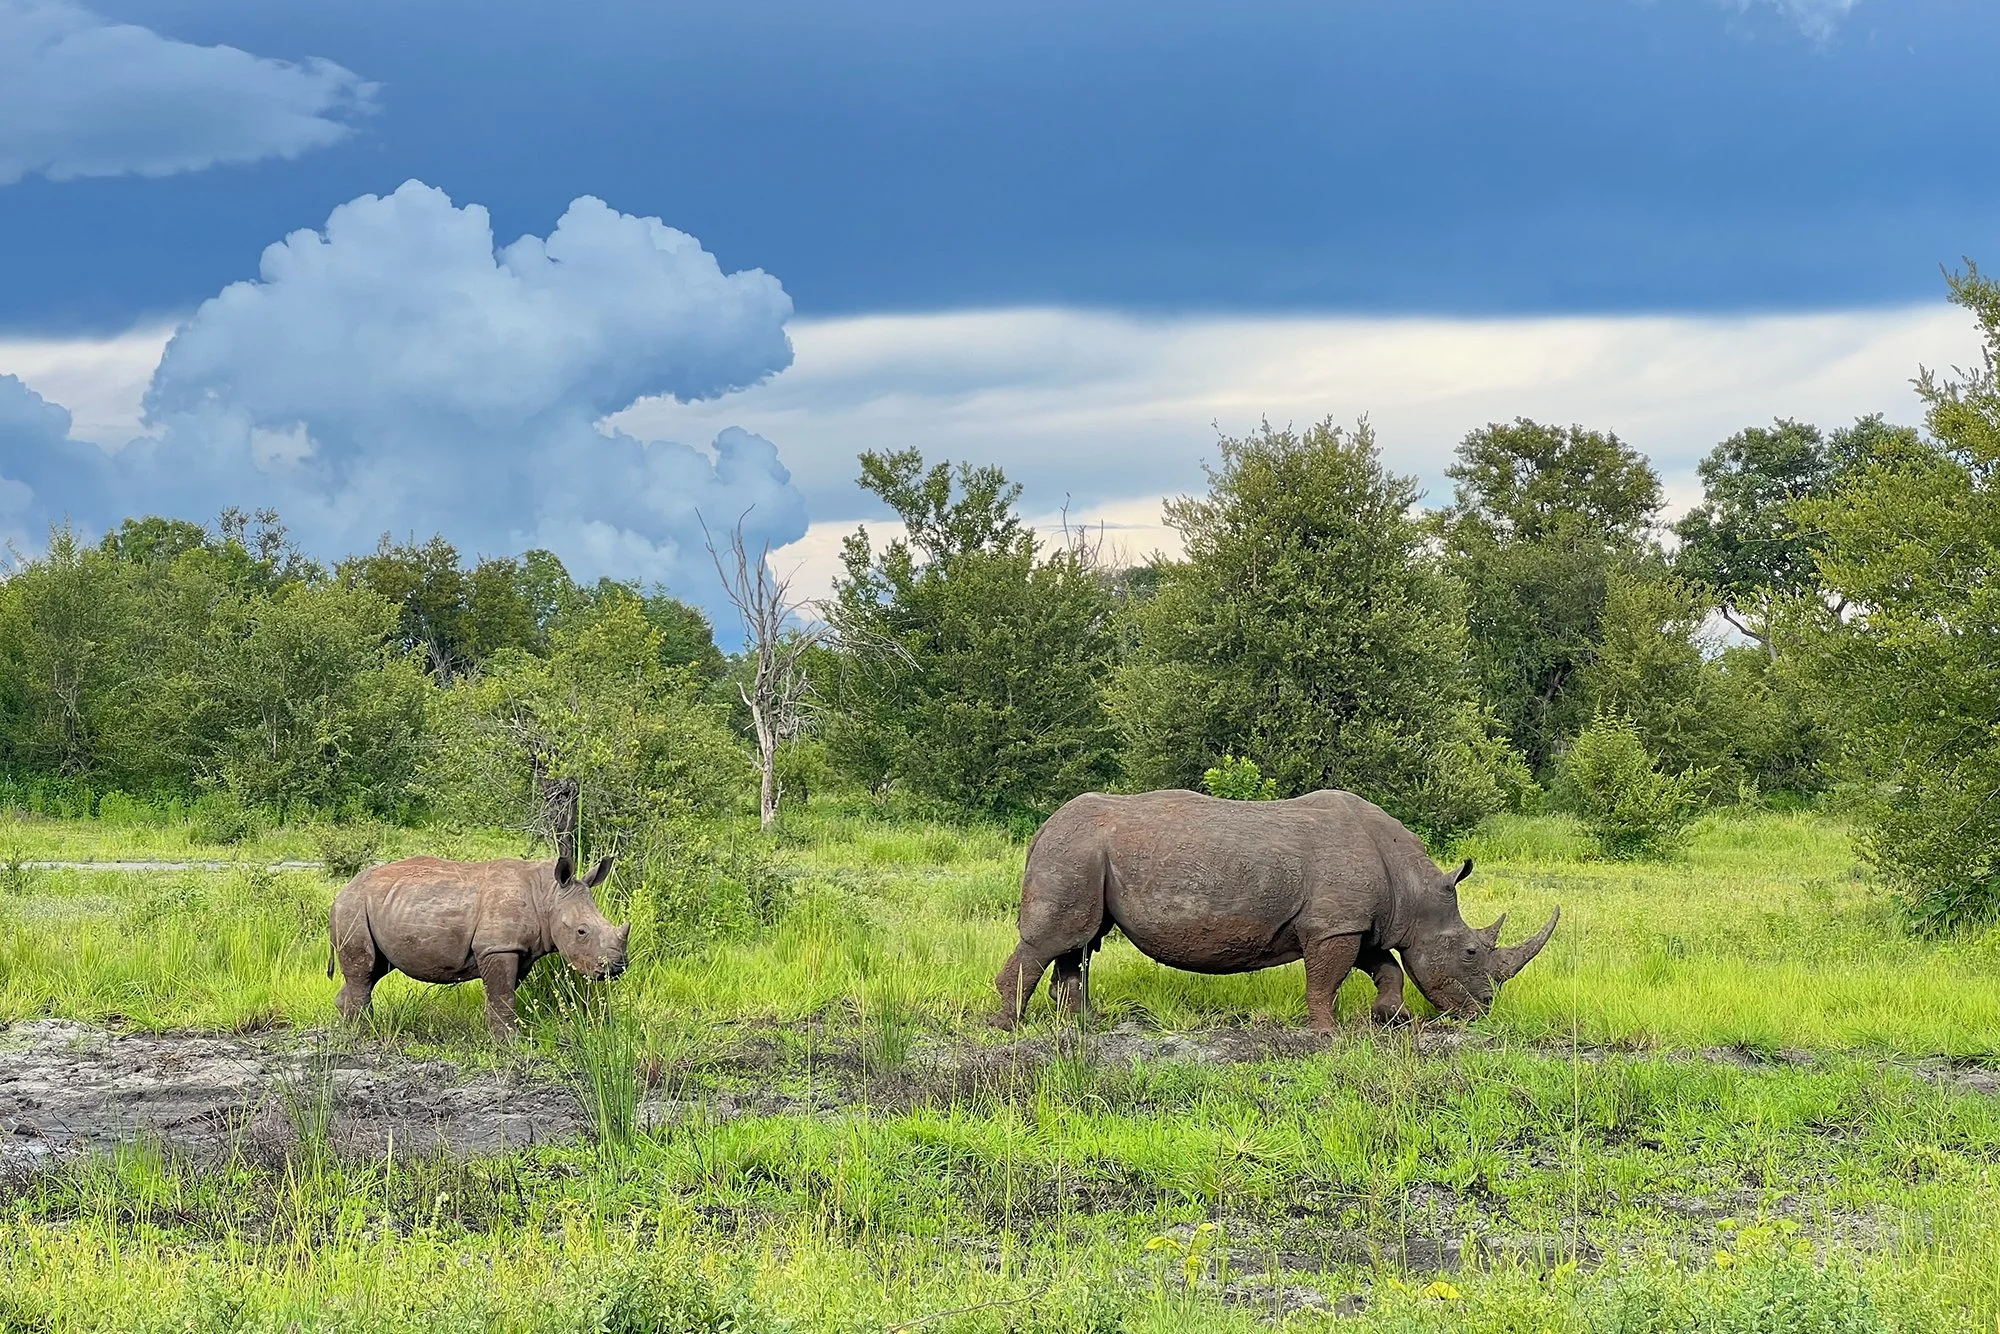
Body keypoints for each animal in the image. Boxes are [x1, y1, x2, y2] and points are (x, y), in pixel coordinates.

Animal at [328, 853, 629, 1039]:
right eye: (581, 931)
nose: (617, 967)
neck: (548, 896)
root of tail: (341, 892)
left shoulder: (520, 950)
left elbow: (502, 995)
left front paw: (500, 1036)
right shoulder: (498, 946)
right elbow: (503, 995)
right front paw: (510, 1043)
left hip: (374, 905)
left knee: (375, 970)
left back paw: (350, 1025)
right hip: (354, 906)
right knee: (365, 969)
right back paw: (363, 1032)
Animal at [993, 788, 1558, 1030]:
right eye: (1470, 952)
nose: (1485, 1011)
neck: (1416, 893)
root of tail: (1042, 827)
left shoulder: (1349, 922)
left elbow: (1386, 967)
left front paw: (1389, 1017)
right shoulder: (1334, 925)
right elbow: (1327, 979)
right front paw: (1328, 1034)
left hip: (1084, 852)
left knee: (1079, 942)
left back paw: (1083, 1024)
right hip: (1075, 850)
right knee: (1054, 940)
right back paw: (1009, 1028)